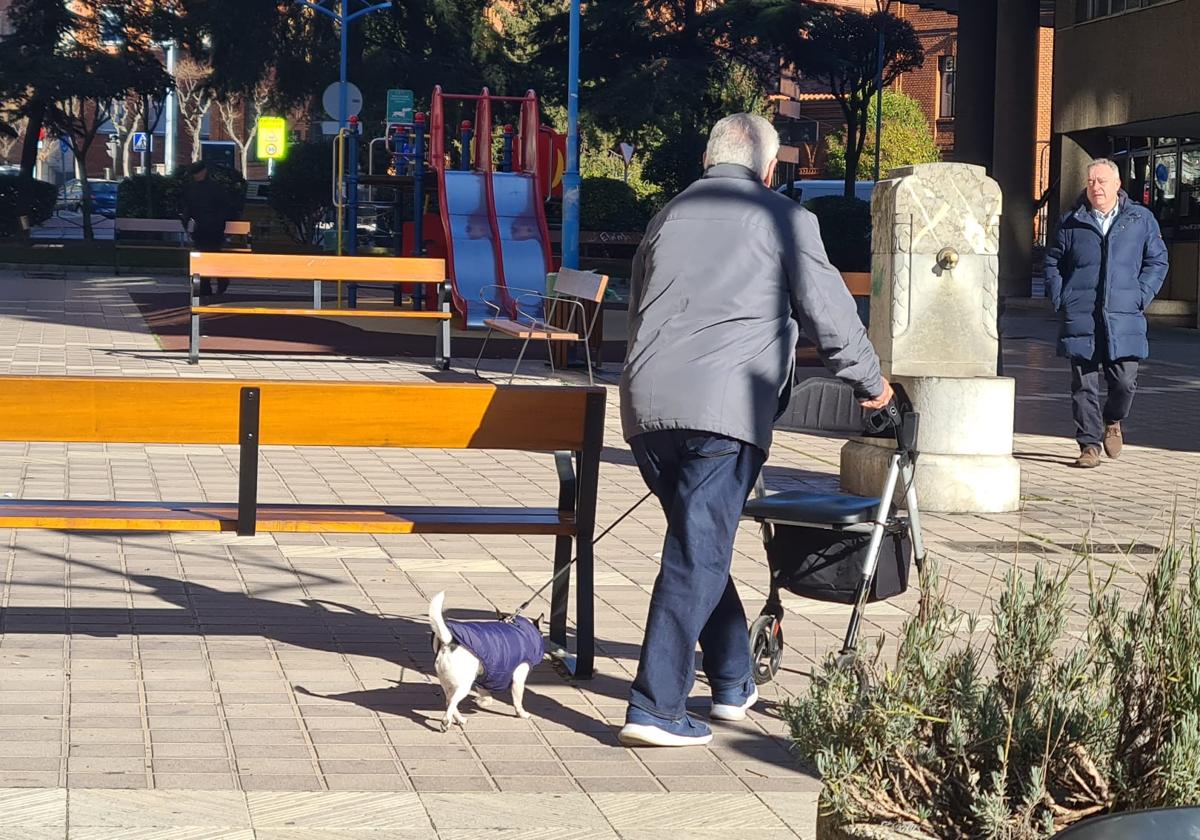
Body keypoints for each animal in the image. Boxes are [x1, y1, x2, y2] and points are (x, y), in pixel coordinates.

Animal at [429, 590, 547, 729]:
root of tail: (449, 642)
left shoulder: (484, 676)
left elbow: (487, 696)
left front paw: (481, 701)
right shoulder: (518, 679)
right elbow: (518, 701)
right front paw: (522, 714)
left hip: (449, 683)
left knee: (449, 701)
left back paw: (460, 719)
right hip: (463, 685)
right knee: (452, 702)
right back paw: (446, 721)